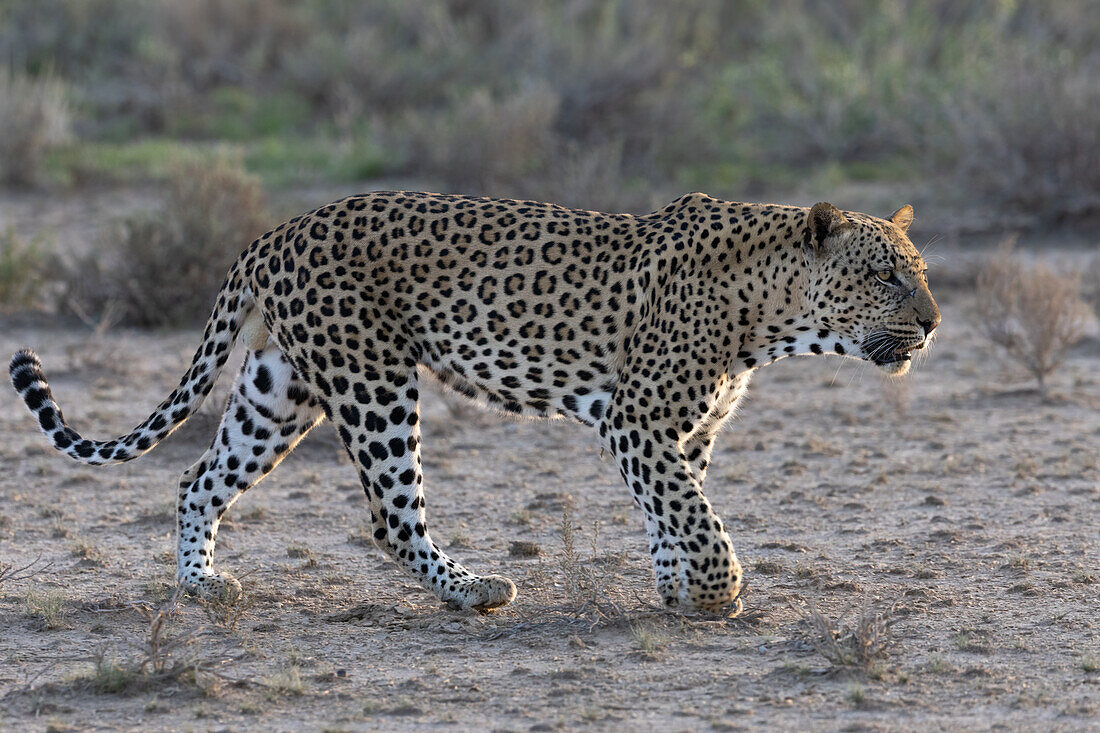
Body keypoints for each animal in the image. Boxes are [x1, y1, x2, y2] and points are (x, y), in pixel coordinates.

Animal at [6, 191, 937, 611]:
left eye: (918, 272)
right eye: (887, 275)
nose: (933, 321)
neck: (771, 312)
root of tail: (272, 232)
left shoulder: (685, 430)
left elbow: (673, 509)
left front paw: (679, 591)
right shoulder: (637, 420)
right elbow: (692, 512)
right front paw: (717, 590)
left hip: (280, 388)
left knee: (197, 476)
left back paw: (200, 584)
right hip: (373, 380)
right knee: (391, 516)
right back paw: (471, 588)